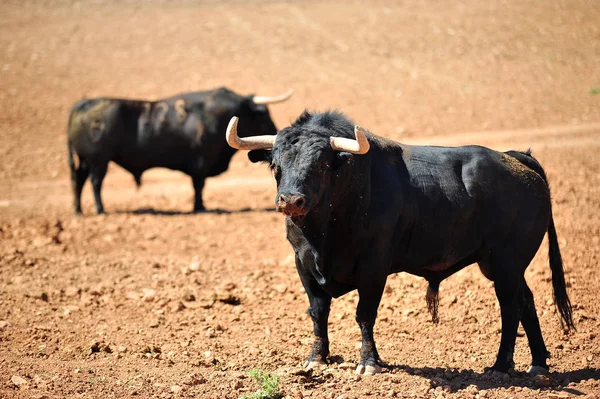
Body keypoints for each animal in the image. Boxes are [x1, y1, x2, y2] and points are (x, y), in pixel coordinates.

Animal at [67, 86, 292, 214]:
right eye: (264, 114)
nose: (278, 130)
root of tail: (84, 104)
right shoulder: (200, 162)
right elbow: (198, 185)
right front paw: (200, 207)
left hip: (86, 161)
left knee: (79, 180)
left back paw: (78, 210)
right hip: (98, 162)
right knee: (95, 183)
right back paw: (100, 210)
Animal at [227, 111, 576, 376]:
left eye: (322, 165)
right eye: (275, 165)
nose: (290, 200)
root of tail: (519, 160)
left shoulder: (373, 268)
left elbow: (364, 314)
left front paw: (368, 363)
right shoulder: (304, 265)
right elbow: (318, 311)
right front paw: (317, 358)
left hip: (505, 264)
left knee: (510, 306)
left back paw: (501, 366)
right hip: (505, 266)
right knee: (526, 301)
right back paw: (538, 364)